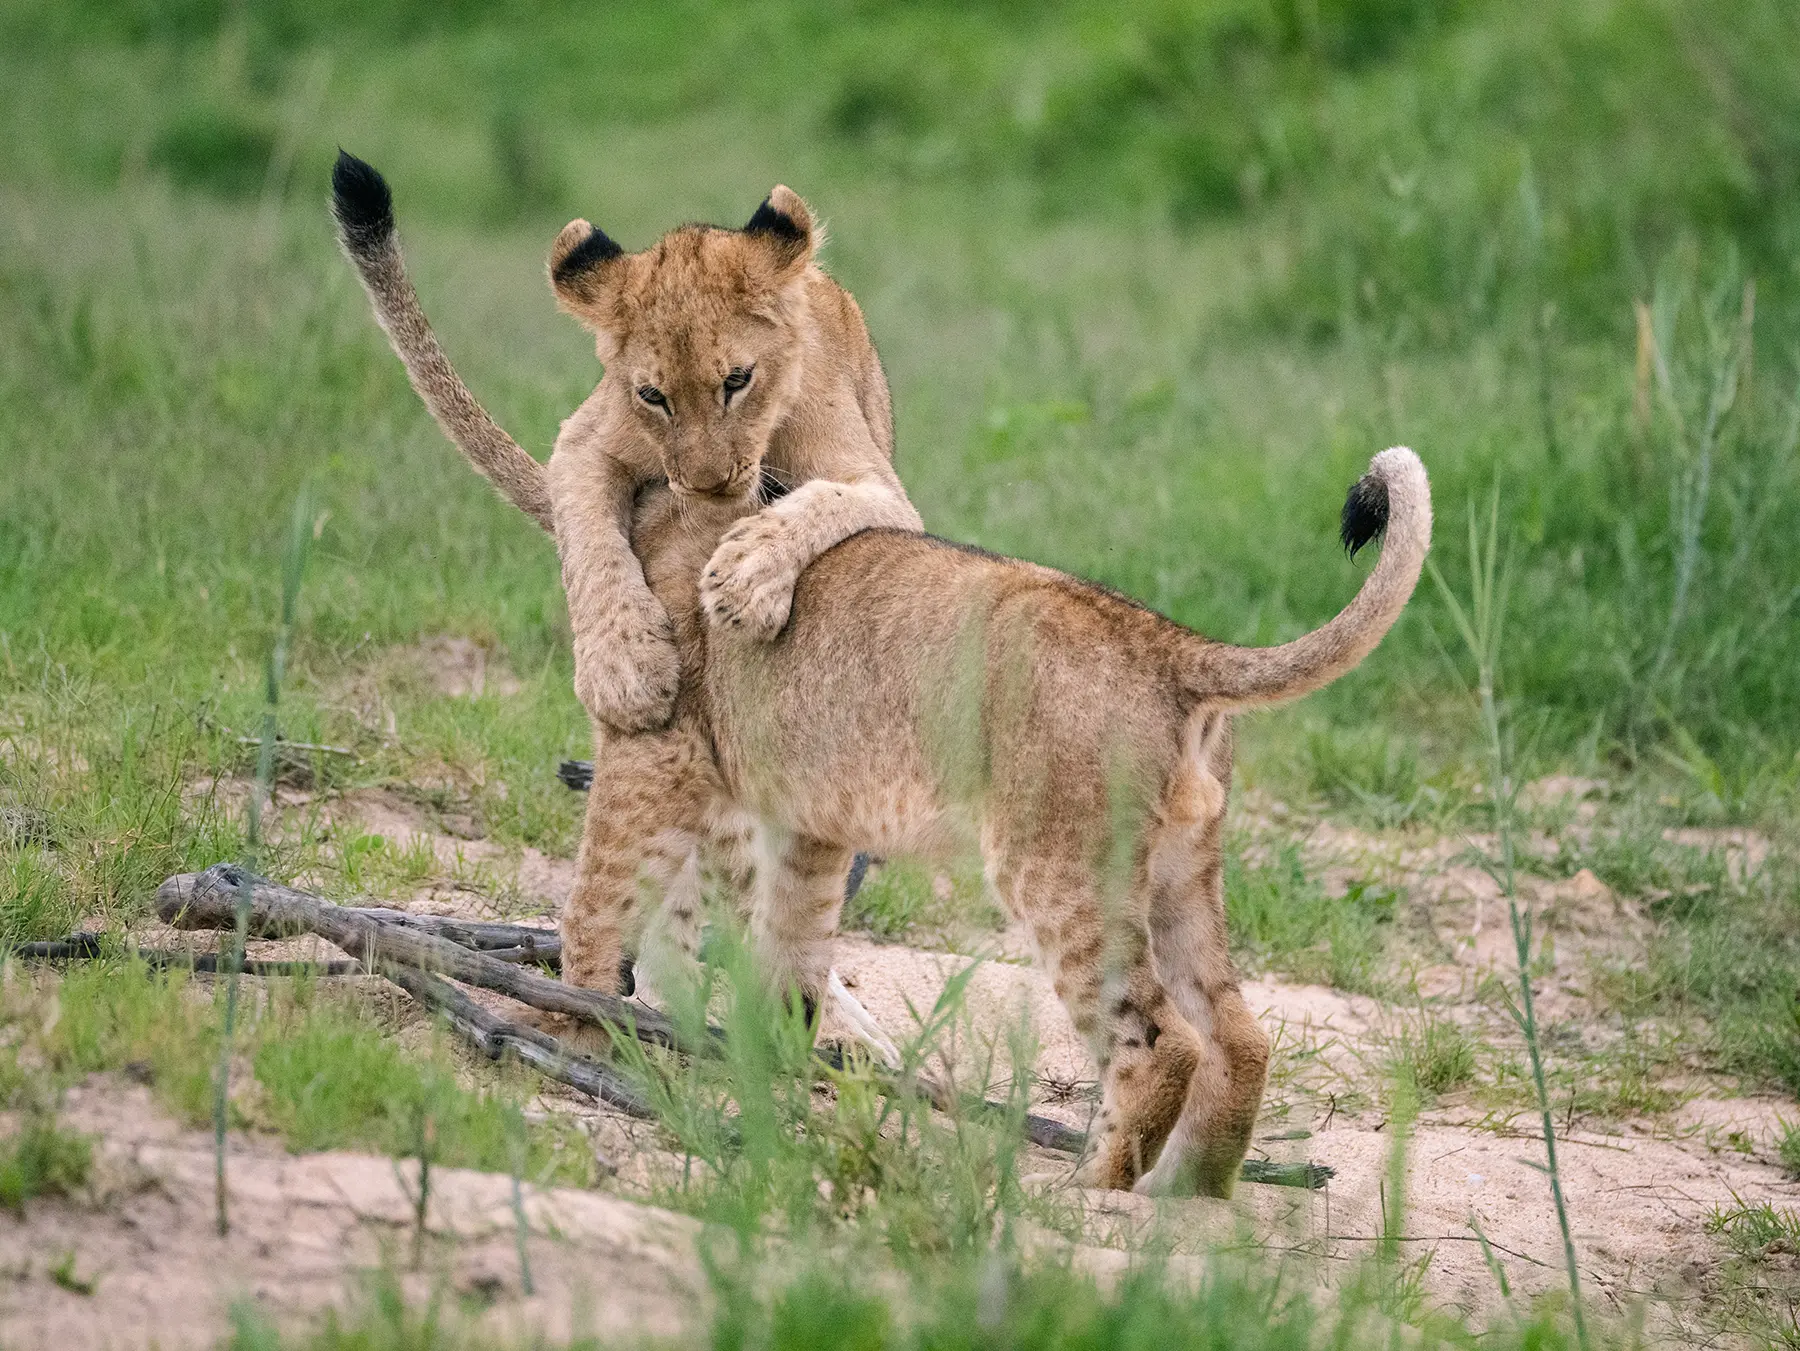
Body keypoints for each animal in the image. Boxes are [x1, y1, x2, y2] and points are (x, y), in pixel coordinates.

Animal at [332, 153, 1432, 1196]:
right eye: (652, 394)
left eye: (736, 382)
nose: (711, 478)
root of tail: (1164, 640)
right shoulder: (788, 803)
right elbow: (773, 946)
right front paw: (758, 1063)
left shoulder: (658, 759)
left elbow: (596, 908)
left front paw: (574, 1029)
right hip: (1176, 872)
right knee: (1240, 1036)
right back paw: (1181, 1195)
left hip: (1060, 866)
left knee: (1161, 1040)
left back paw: (1094, 1188)